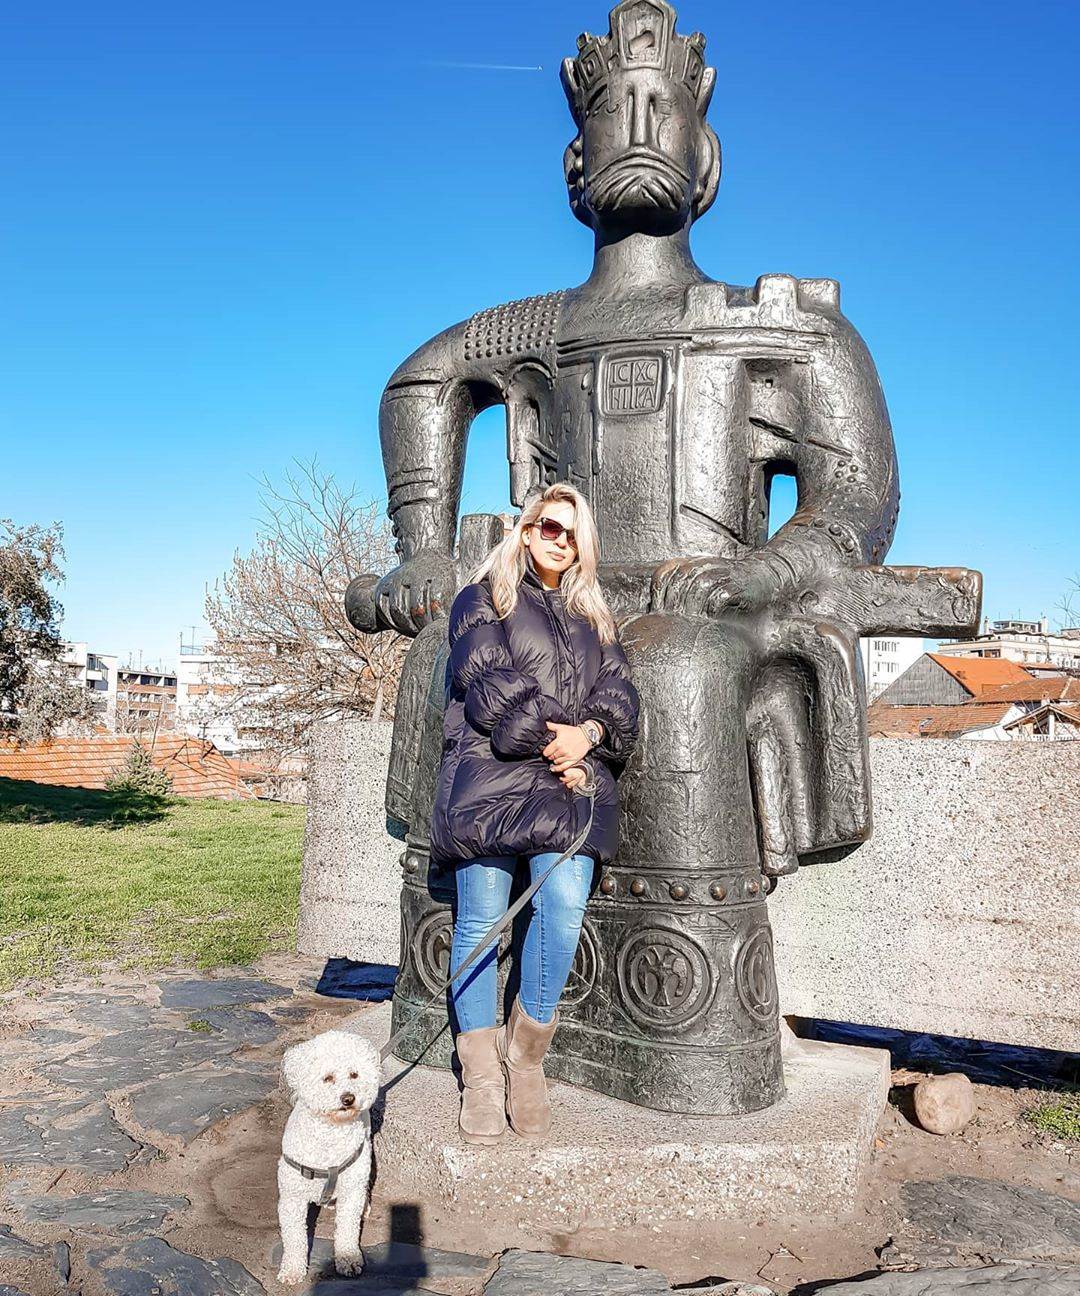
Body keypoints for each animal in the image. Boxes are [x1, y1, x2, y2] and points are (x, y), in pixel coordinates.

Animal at [276, 1030, 381, 1286]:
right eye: (327, 1078)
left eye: (354, 1074)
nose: (348, 1098)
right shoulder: (292, 1197)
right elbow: (294, 1237)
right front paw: (292, 1270)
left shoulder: (351, 1191)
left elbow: (347, 1229)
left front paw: (348, 1260)